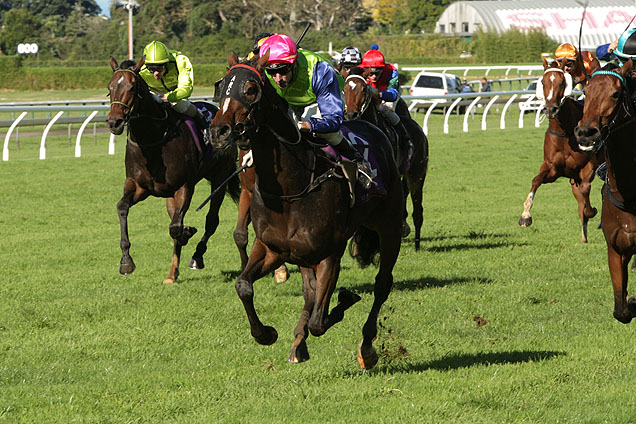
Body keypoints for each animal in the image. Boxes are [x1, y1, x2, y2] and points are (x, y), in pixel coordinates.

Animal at [108, 55, 240, 282]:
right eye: (110, 87)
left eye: (132, 88)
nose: (113, 122)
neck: (152, 140)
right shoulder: (138, 186)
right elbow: (122, 207)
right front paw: (126, 261)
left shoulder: (184, 186)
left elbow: (176, 228)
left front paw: (187, 232)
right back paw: (172, 273)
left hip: (219, 178)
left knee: (211, 221)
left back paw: (197, 257)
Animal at [211, 52, 404, 368]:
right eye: (221, 86)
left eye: (250, 89)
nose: (218, 131)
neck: (291, 188)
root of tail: (371, 126)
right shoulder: (271, 248)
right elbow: (243, 285)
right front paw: (266, 333)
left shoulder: (329, 255)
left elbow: (319, 320)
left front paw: (344, 300)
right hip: (303, 255)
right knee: (309, 292)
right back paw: (298, 345)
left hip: (389, 227)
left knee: (382, 283)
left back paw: (366, 347)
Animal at [346, 67, 430, 250]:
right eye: (346, 88)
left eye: (364, 89)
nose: (350, 114)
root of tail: (418, 129)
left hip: (417, 174)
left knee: (418, 210)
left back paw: (417, 245)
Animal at [516, 57, 600, 242]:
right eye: (543, 81)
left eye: (562, 81)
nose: (550, 109)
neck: (565, 132)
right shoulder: (553, 169)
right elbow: (536, 180)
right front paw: (525, 215)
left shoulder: (588, 166)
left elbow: (586, 190)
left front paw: (591, 211)